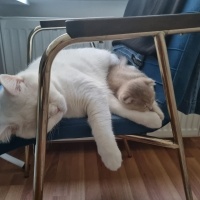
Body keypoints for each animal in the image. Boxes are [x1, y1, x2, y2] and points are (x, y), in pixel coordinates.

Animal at [0, 48, 162, 170]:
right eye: (46, 118)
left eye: (46, 102)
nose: (58, 108)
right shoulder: (102, 95)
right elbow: (116, 112)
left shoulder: (94, 91)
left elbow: (102, 125)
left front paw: (111, 156)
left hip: (111, 62)